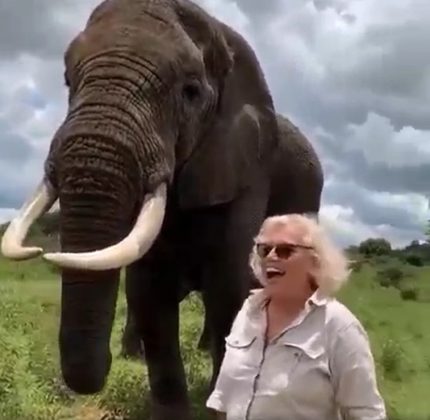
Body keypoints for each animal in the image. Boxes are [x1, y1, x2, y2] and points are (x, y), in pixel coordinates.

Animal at [0, 1, 322, 418]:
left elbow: (230, 287)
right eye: (69, 81)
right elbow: (148, 292)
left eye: (190, 92)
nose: (106, 364)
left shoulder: (246, 168)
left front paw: (221, 402)